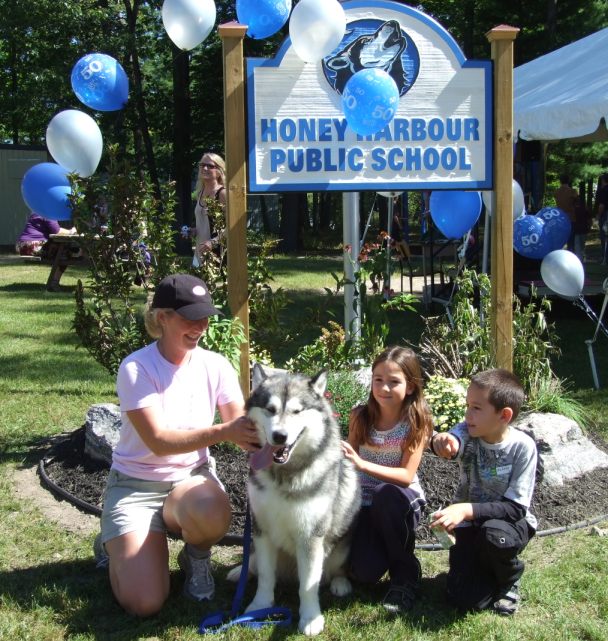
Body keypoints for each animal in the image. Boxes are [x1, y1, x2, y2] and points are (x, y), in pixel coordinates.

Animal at [238, 364, 360, 636]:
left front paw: (310, 618)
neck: (283, 475)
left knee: (335, 569)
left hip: (343, 543)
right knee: (255, 564)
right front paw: (259, 606)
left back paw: (341, 582)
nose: (279, 436)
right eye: (270, 409)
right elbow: (265, 575)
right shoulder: (261, 529)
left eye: (297, 411)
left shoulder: (310, 535)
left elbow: (308, 584)